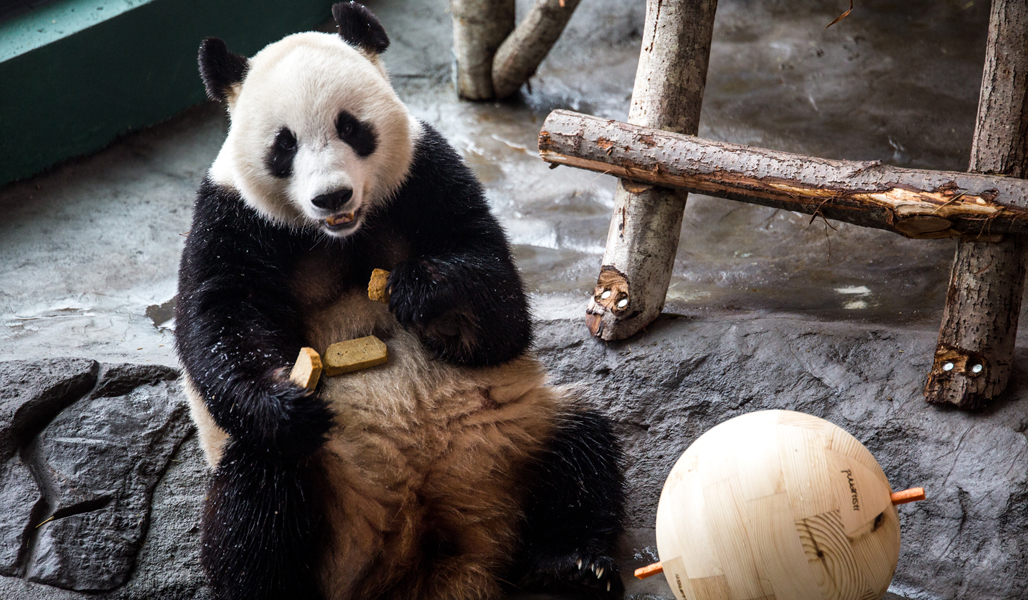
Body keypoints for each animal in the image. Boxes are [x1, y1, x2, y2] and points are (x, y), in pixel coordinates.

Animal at [175, 4, 620, 600]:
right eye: (284, 144)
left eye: (350, 127)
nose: (331, 196)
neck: (339, 235)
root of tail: (429, 557)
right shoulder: (231, 217)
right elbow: (222, 318)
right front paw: (284, 400)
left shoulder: (425, 173)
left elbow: (497, 296)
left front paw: (423, 292)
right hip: (323, 490)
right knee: (260, 498)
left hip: (521, 428)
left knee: (582, 449)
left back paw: (572, 564)